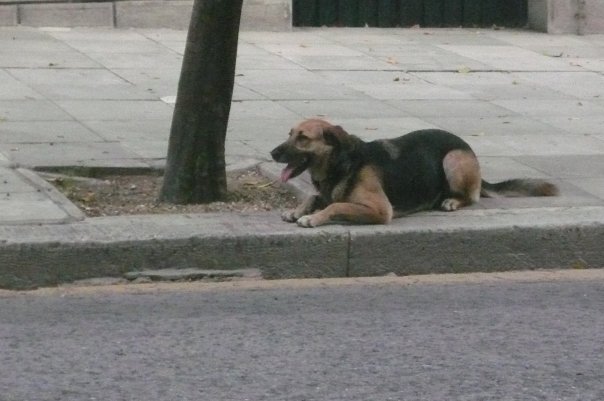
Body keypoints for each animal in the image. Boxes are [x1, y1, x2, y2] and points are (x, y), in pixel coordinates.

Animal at [272, 117, 560, 227]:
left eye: (302, 138)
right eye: (289, 133)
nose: (272, 153)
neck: (343, 164)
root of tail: (465, 146)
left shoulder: (380, 210)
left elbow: (335, 205)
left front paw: (313, 218)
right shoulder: (324, 192)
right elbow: (314, 197)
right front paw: (297, 210)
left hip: (453, 159)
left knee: (472, 197)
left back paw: (452, 201)